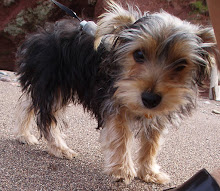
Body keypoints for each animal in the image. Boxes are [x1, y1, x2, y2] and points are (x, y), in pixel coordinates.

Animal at [15, 0, 218, 184]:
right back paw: (59, 148)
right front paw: (122, 170)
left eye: (181, 64)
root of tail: (39, 34)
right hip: (52, 83)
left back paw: (23, 134)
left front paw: (149, 172)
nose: (150, 98)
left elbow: (151, 142)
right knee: (47, 119)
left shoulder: (156, 113)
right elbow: (120, 135)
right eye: (139, 54)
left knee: (27, 104)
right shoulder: (115, 101)